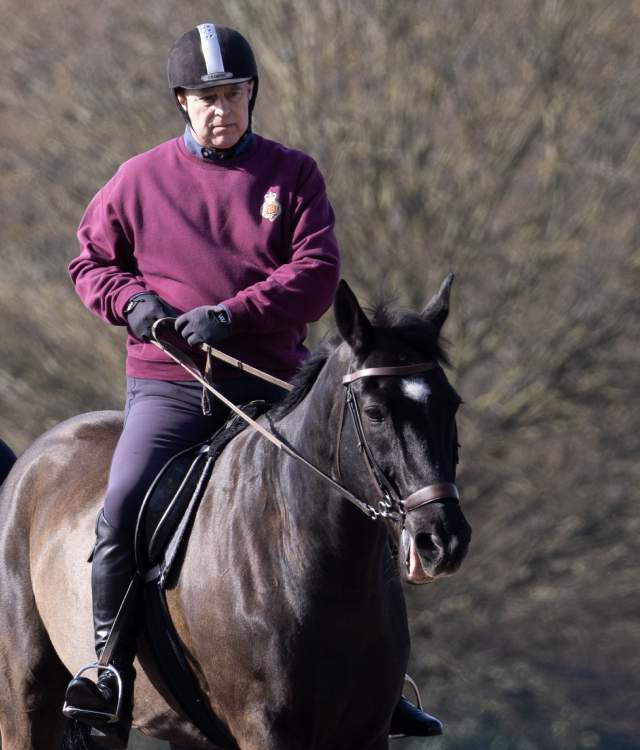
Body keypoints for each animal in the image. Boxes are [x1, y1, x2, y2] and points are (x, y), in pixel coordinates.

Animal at [0, 277, 471, 750]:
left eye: (452, 404)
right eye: (375, 413)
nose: (442, 541)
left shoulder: (366, 732)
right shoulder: (264, 729)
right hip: (26, 703)